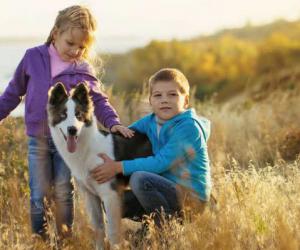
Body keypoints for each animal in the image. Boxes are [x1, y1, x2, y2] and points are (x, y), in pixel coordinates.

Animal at [47, 83, 152, 249]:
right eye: (63, 115)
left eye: (78, 115)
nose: (72, 130)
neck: (88, 149)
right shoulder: (91, 196)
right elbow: (99, 229)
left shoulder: (110, 195)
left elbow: (112, 232)